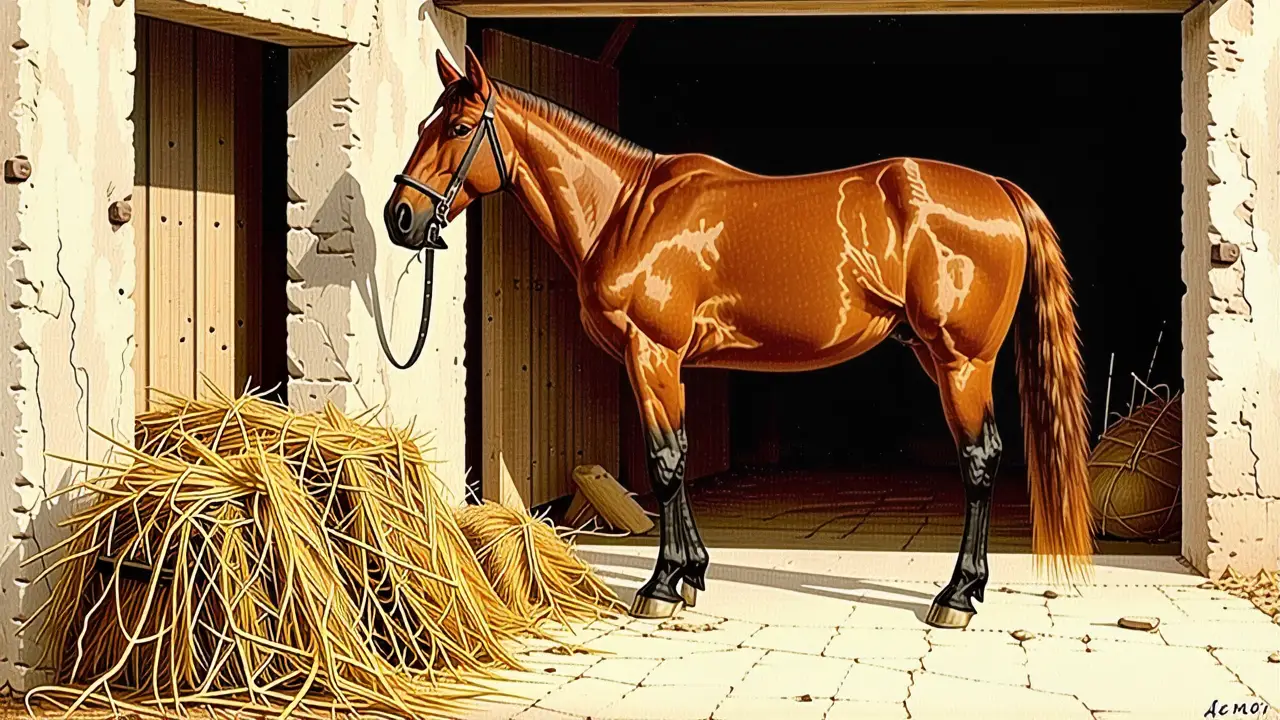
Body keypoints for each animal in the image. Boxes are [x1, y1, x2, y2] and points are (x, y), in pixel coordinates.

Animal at [385, 47, 1094, 629]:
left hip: (960, 361)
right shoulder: (662, 363)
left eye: (456, 128)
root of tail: (998, 190)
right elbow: (675, 453)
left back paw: (956, 597)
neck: (626, 209)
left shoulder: (653, 353)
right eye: (420, 127)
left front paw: (661, 586)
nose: (401, 217)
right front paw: (690, 573)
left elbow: (666, 463)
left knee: (980, 460)